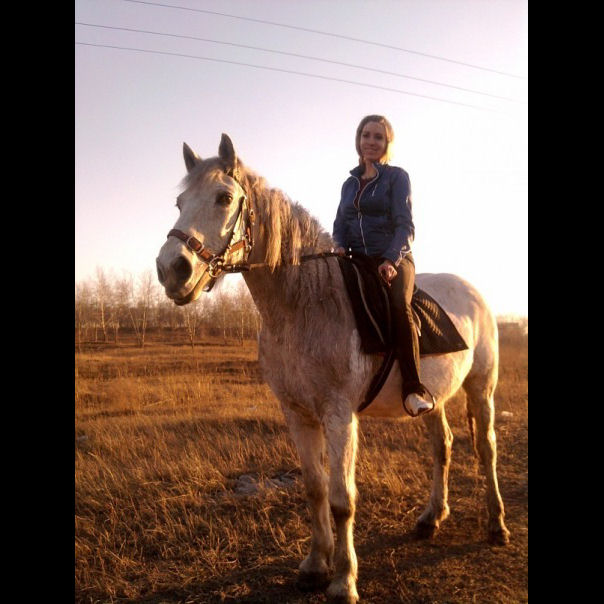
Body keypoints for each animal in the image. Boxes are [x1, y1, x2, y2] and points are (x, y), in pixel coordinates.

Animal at [155, 134, 510, 603]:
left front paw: (343, 581)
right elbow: (315, 488)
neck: (305, 304)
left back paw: (497, 525)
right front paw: (313, 565)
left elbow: (343, 499)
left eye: (224, 197)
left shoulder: (339, 415)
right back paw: (431, 518)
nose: (170, 269)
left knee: (486, 448)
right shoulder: (297, 413)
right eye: (179, 202)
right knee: (443, 446)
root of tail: (473, 290)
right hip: (432, 400)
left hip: (481, 388)